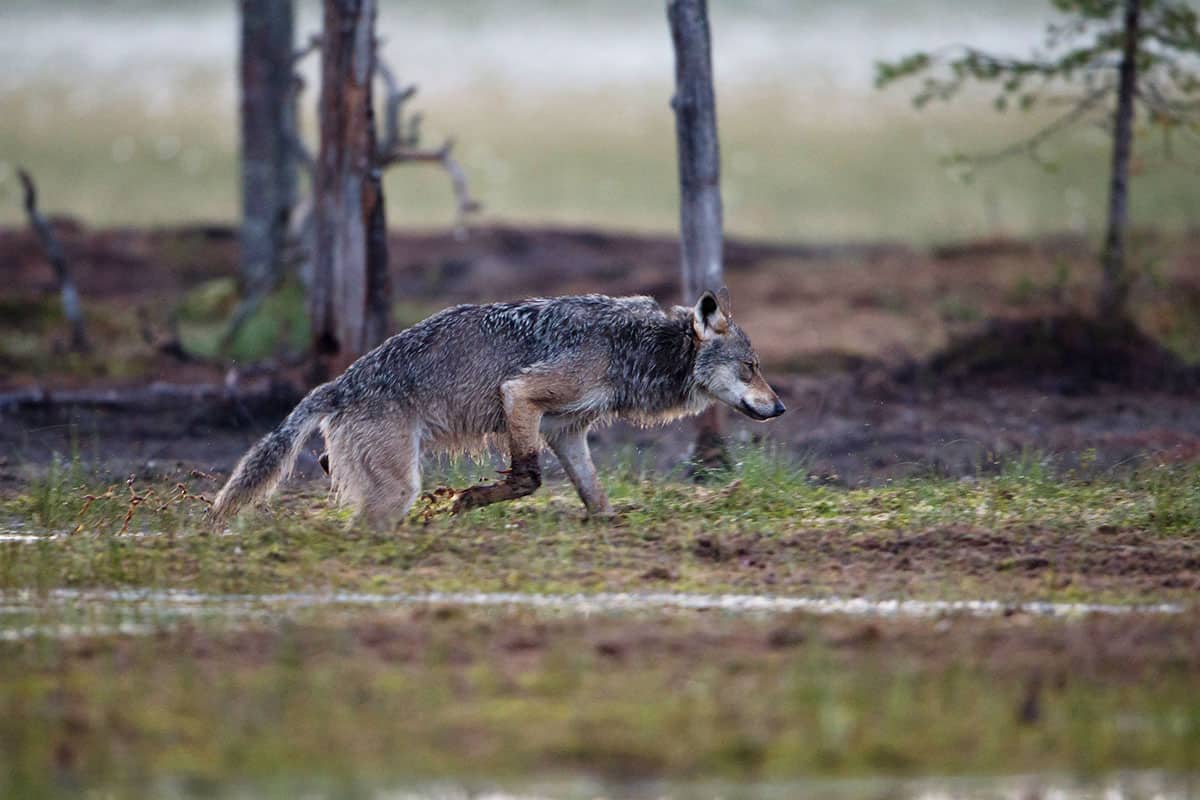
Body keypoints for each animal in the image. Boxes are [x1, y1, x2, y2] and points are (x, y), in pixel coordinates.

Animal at [210, 287, 782, 525]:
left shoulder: (565, 431)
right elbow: (527, 478)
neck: (634, 346)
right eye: (751, 366)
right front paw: (465, 501)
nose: (779, 409)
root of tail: (339, 383)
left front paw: (607, 523)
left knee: (330, 465)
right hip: (397, 490)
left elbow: (594, 495)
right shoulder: (520, 395)